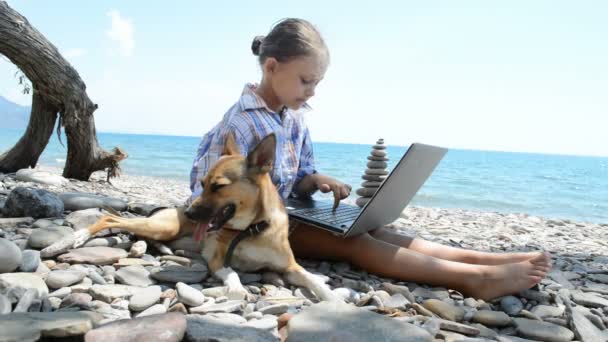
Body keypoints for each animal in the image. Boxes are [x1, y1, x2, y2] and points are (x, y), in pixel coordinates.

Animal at [42, 134, 338, 302]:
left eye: (218, 186)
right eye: (203, 183)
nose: (189, 214)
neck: (252, 230)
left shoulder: (290, 266)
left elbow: (311, 278)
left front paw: (333, 296)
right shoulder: (218, 260)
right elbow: (232, 272)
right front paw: (237, 288)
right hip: (162, 227)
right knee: (109, 219)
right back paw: (72, 239)